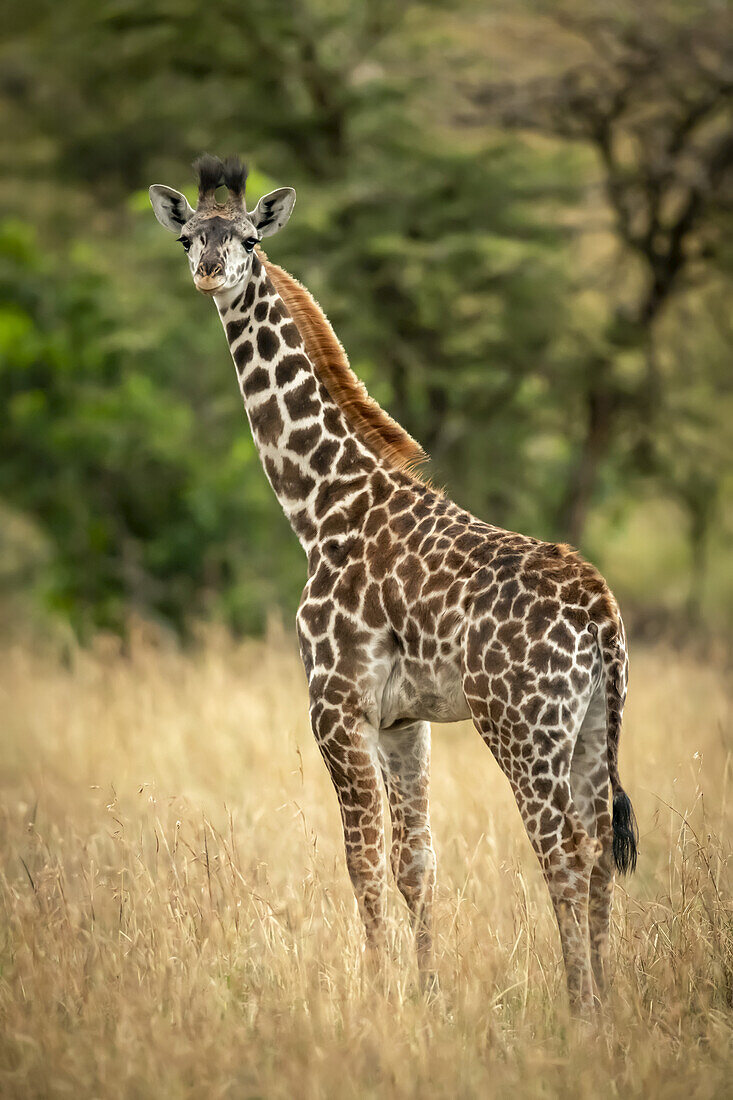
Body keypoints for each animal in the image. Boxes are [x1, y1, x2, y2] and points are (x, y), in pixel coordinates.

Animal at [148, 152, 633, 1012]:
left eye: (246, 238)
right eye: (187, 237)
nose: (209, 273)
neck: (319, 503)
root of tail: (600, 612)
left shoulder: (335, 706)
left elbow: (362, 861)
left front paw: (375, 997)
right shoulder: (405, 721)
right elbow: (417, 863)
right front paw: (426, 995)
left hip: (521, 727)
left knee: (564, 853)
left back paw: (579, 1009)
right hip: (590, 729)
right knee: (596, 848)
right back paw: (604, 1006)